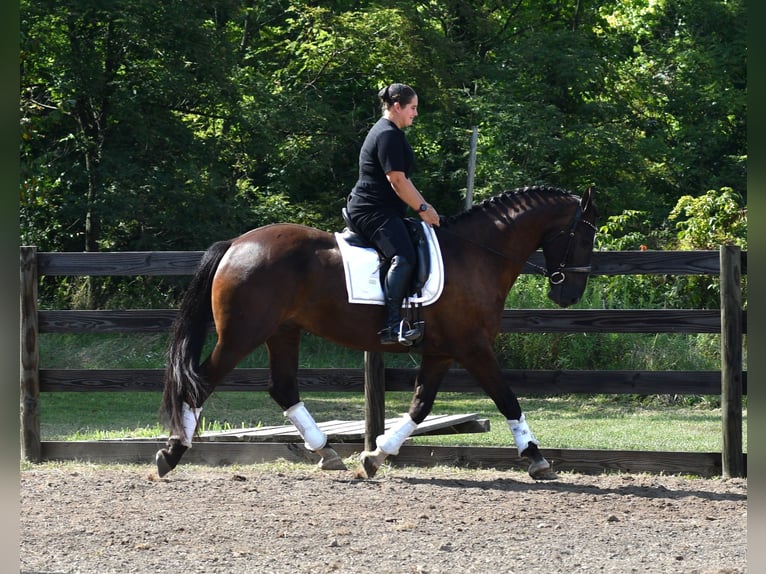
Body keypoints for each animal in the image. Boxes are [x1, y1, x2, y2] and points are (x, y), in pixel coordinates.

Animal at [156, 186, 600, 482]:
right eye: (584, 235)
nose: (568, 295)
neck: (476, 255)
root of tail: (236, 244)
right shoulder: (473, 347)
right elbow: (507, 398)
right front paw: (537, 458)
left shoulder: (441, 351)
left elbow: (421, 406)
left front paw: (375, 456)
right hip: (242, 334)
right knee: (202, 383)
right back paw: (172, 454)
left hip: (283, 332)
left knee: (283, 388)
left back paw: (328, 453)